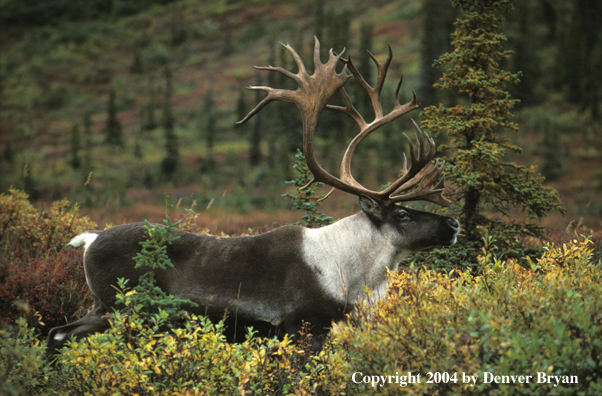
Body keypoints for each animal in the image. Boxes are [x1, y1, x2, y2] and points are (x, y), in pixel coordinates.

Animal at [48, 38, 460, 352]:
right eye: (402, 214)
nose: (454, 223)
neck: (353, 276)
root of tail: (89, 239)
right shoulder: (303, 325)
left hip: (103, 307)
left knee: (58, 330)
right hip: (119, 306)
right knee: (62, 332)